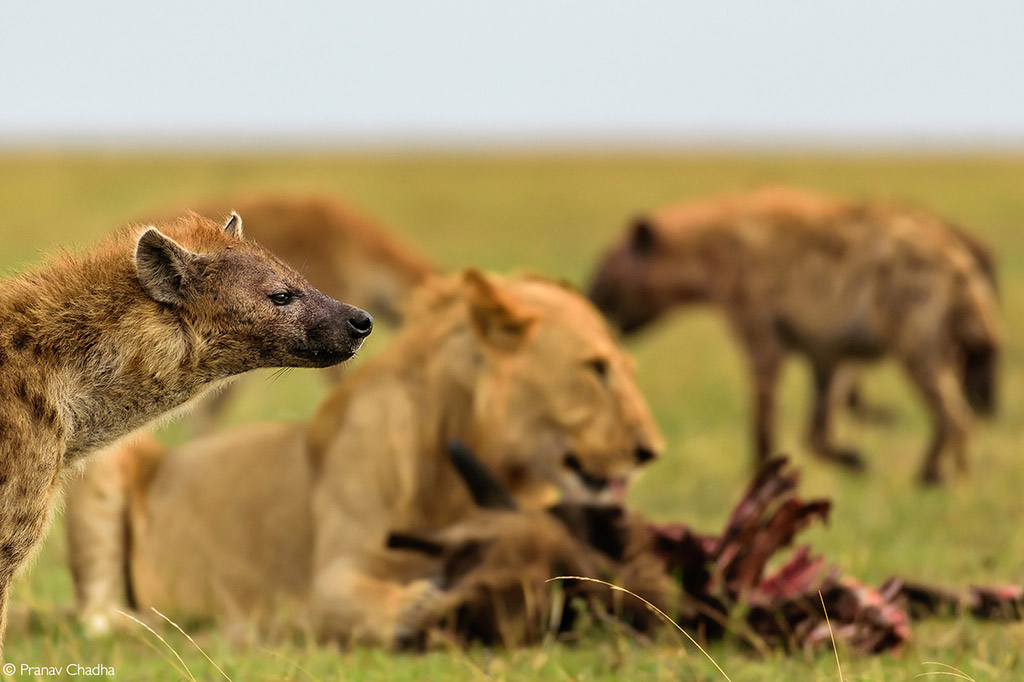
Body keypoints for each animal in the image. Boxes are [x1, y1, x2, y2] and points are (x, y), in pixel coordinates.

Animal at [68, 266, 659, 643]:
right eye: (597, 368)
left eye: (628, 368)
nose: (651, 452)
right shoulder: (328, 578)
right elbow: (358, 598)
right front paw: (416, 608)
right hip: (99, 460)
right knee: (95, 615)